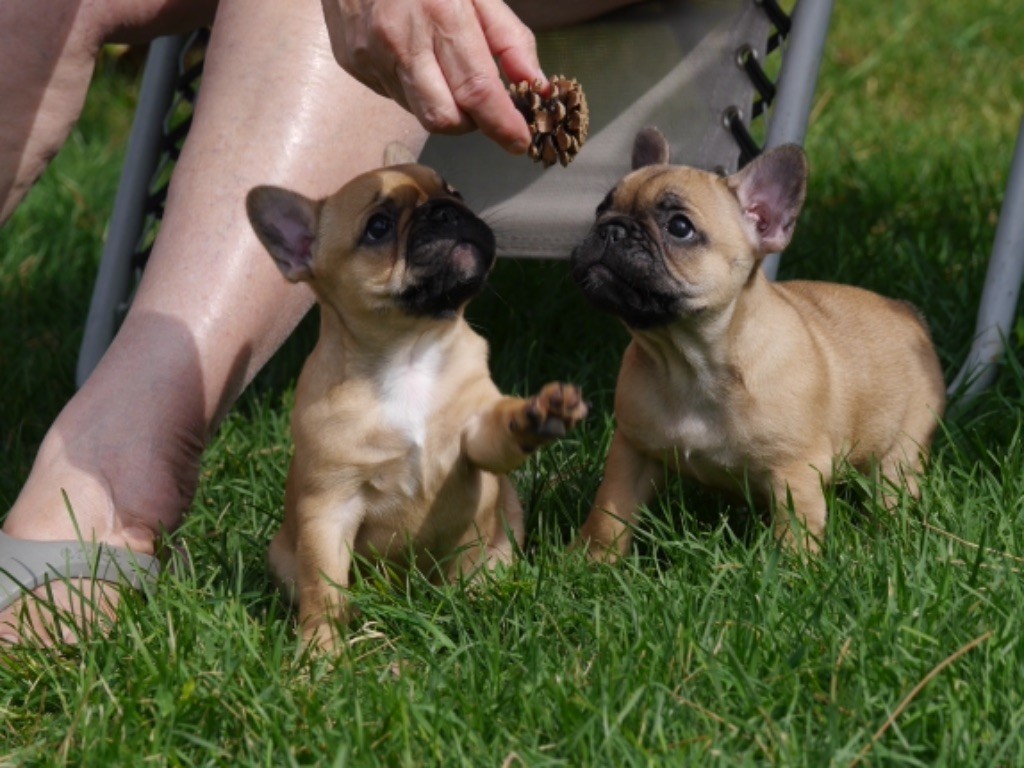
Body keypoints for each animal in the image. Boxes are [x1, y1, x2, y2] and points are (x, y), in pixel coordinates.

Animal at [243, 145, 589, 651]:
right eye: (379, 226)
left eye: (455, 191)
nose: (446, 211)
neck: (409, 354)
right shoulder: (328, 508)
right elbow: (323, 588)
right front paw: (320, 650)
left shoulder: (475, 440)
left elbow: (497, 434)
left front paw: (535, 415)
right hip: (284, 554)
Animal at [569, 129, 942, 557]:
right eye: (600, 209)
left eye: (679, 227)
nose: (611, 229)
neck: (691, 362)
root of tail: (906, 312)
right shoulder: (633, 451)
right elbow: (608, 514)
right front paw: (589, 559)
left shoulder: (795, 471)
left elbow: (795, 533)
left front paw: (791, 569)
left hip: (901, 451)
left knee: (893, 489)